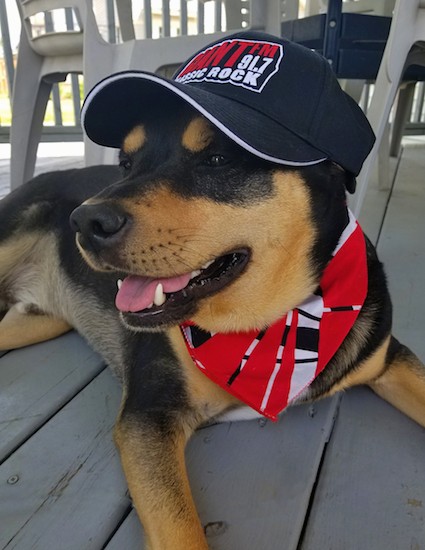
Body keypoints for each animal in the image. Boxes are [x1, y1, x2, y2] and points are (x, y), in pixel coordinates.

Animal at [2, 31, 424, 550]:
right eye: (125, 163)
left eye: (218, 159)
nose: (83, 222)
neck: (270, 326)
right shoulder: (149, 418)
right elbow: (181, 530)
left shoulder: (390, 359)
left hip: (35, 323)